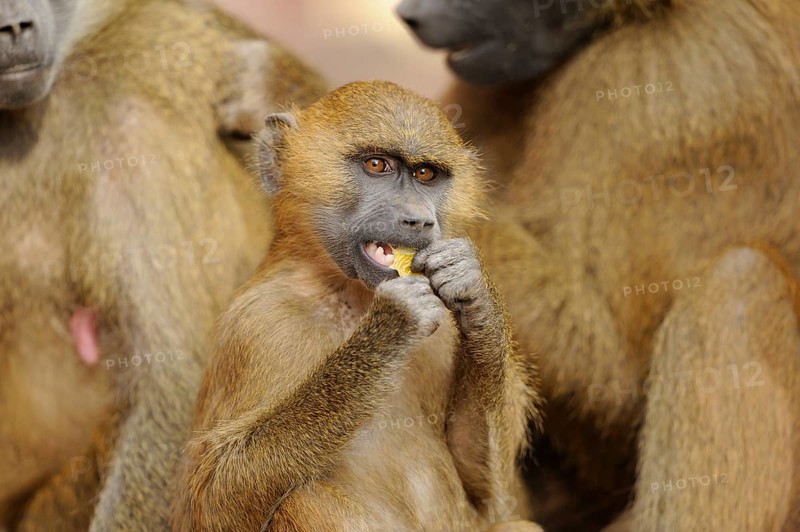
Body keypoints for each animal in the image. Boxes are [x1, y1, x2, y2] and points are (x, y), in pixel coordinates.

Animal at [171, 80, 542, 532]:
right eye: (377, 165)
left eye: (425, 174)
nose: (419, 220)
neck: (353, 298)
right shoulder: (257, 323)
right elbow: (211, 496)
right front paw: (393, 324)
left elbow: (489, 496)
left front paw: (475, 289)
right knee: (304, 498)